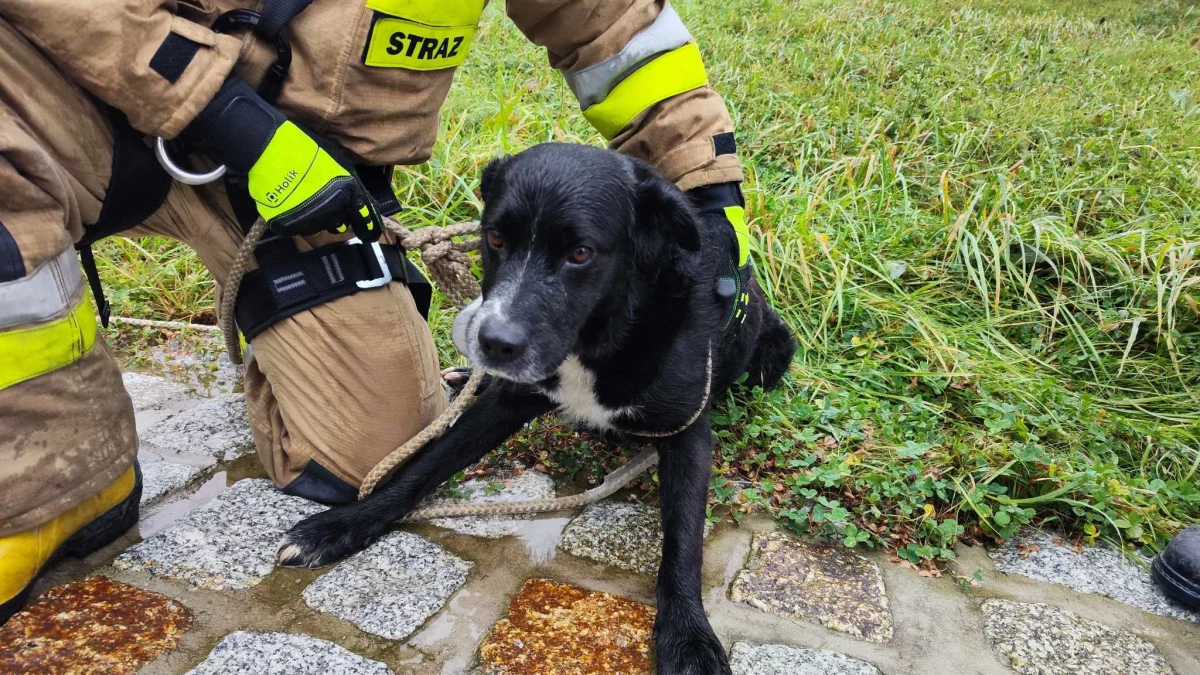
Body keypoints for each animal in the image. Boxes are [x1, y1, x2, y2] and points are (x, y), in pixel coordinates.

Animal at [276, 140, 792, 667]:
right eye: (495, 238)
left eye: (580, 253)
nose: (492, 343)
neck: (597, 340)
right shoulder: (509, 399)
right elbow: (424, 466)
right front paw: (342, 526)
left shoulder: (685, 432)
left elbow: (684, 542)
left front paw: (688, 636)